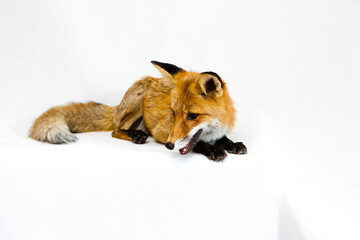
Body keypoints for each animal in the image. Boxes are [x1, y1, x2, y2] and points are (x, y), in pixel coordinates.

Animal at [29, 61, 246, 160]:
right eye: (173, 113)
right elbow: (199, 143)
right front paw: (213, 149)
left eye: (193, 116)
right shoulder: (162, 132)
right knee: (116, 130)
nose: (169, 146)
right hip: (138, 99)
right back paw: (135, 135)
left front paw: (232, 144)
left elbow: (223, 139)